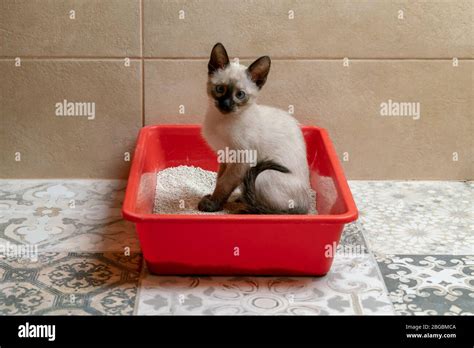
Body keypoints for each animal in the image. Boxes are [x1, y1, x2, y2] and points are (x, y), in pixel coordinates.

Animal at [199, 42, 312, 213]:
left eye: (240, 95)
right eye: (220, 89)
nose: (225, 105)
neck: (222, 120)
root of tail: (307, 205)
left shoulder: (242, 161)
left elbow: (224, 184)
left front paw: (212, 204)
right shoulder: (225, 157)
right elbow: (220, 179)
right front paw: (213, 198)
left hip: (263, 177)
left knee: (270, 210)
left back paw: (245, 208)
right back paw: (242, 199)